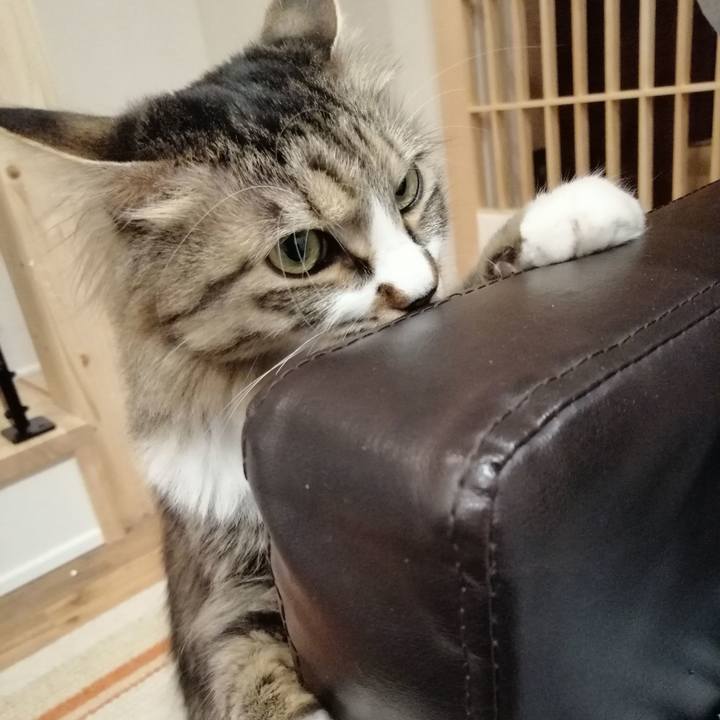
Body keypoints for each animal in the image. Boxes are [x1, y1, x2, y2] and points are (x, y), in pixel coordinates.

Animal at [0, 0, 645, 718]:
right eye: (300, 251)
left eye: (408, 187)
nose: (417, 293)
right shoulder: (228, 590)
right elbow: (249, 673)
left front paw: (573, 214)